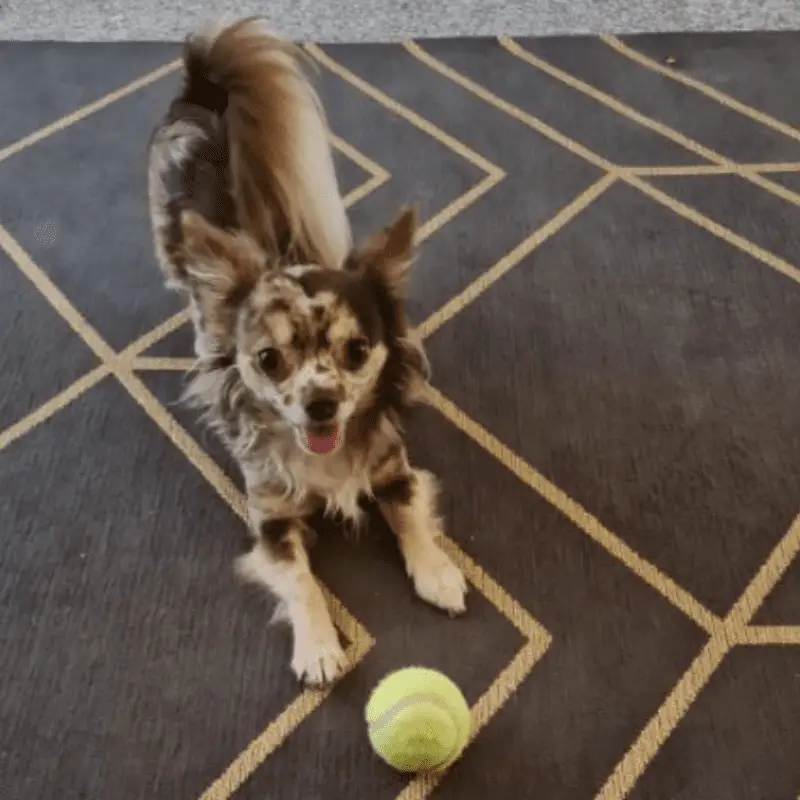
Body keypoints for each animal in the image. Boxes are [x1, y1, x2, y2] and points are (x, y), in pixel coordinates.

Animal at [147, 15, 466, 684]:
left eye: (358, 350)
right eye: (270, 360)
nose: (321, 403)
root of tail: (207, 88)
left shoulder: (394, 469)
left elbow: (411, 517)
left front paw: (439, 571)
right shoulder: (270, 523)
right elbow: (301, 581)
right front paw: (318, 646)